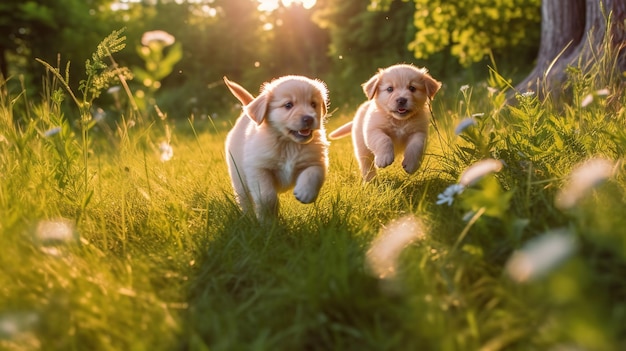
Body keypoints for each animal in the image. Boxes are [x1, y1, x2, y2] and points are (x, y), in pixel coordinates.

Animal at [223, 76, 330, 220]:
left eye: (313, 104)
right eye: (288, 105)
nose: (309, 118)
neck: (289, 144)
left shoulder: (317, 159)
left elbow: (313, 173)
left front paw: (305, 193)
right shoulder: (258, 168)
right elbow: (267, 197)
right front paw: (268, 219)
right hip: (238, 177)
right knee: (244, 199)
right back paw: (248, 218)